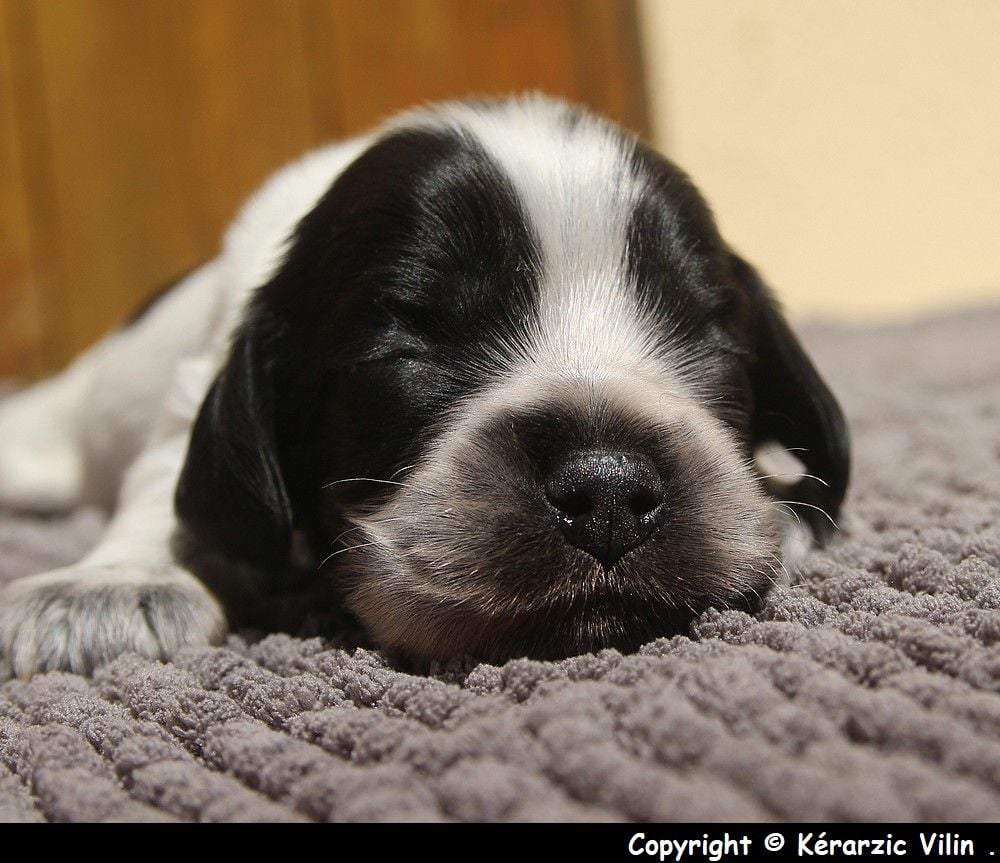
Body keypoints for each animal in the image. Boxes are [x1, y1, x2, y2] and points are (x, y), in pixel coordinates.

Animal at [0, 94, 852, 676]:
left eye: (708, 335)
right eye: (408, 346)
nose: (609, 491)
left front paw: (787, 513)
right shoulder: (190, 387)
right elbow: (163, 485)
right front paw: (110, 582)